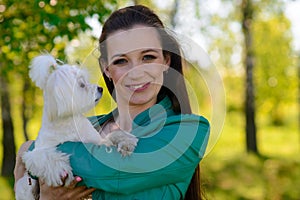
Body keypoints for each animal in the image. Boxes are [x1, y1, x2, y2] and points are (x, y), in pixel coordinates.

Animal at [14, 54, 138, 199]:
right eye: (82, 85)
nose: (100, 88)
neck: (69, 122)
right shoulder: (36, 152)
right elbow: (46, 156)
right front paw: (60, 167)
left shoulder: (96, 141)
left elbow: (111, 136)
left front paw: (126, 142)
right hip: (24, 186)